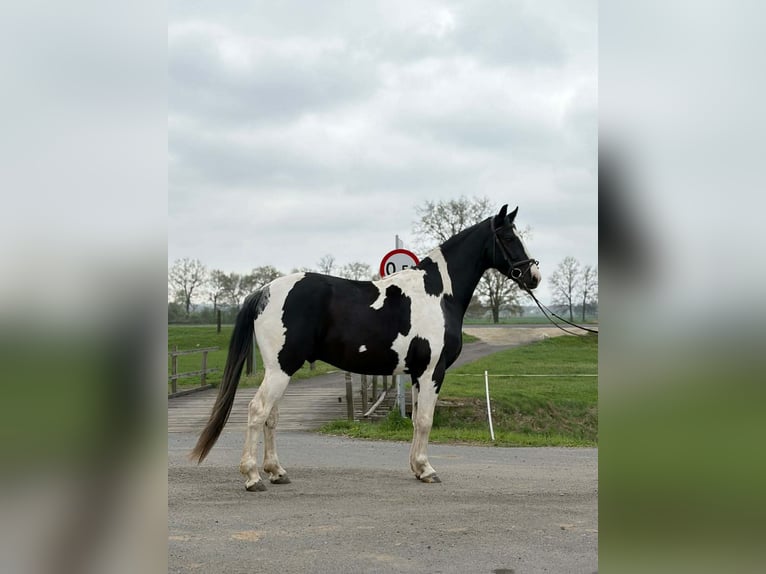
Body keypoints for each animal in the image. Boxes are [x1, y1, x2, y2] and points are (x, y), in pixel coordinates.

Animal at [191, 204, 541, 491]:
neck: (438, 293)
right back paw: (252, 477)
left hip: (277, 369)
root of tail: (263, 291)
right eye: (508, 237)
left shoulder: (417, 374)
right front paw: (427, 470)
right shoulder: (432, 371)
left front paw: (417, 468)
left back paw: (277, 472)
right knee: (257, 411)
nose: (533, 275)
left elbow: (417, 419)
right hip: (281, 368)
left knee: (271, 417)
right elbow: (426, 420)